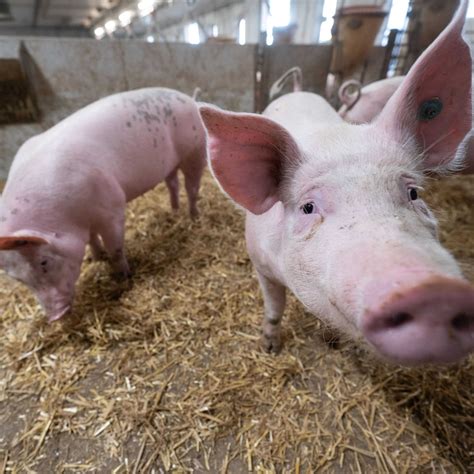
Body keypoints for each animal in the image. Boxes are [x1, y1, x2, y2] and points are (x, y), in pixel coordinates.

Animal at [0, 87, 207, 320]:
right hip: (169, 164)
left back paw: (193, 218)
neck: (63, 219)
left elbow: (115, 248)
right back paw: (174, 211)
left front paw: (123, 276)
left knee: (192, 187)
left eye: (44, 262)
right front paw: (96, 258)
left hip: (195, 149)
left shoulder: (112, 208)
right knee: (172, 183)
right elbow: (92, 239)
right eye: (18, 278)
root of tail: (188, 98)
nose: (55, 316)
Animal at [200, 0, 474, 366]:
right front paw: (270, 346)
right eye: (308, 207)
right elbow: (274, 306)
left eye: (413, 193)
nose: (433, 292)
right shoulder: (260, 263)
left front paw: (332, 342)